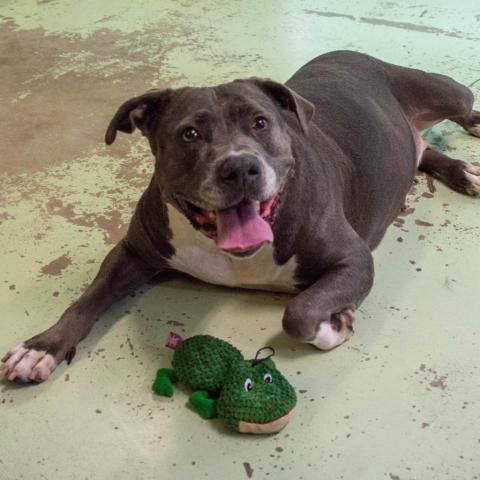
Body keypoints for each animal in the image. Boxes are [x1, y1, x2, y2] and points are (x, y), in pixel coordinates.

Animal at [1, 50, 478, 382]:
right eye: (190, 134)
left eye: (261, 123)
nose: (240, 167)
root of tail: (351, 52)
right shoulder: (132, 252)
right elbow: (86, 300)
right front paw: (42, 346)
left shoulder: (354, 261)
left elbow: (299, 312)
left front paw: (335, 324)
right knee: (422, 150)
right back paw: (460, 170)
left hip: (448, 92)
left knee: (464, 106)